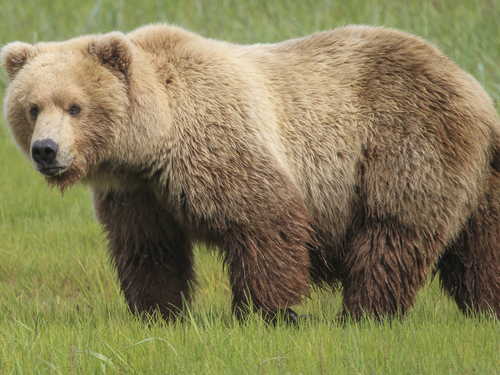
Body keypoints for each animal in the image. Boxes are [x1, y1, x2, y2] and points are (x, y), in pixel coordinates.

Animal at [0, 24, 500, 324]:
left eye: (75, 106)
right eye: (32, 107)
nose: (46, 150)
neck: (151, 143)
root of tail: (472, 85)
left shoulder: (219, 145)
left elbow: (263, 221)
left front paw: (268, 314)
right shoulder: (137, 192)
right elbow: (149, 251)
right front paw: (160, 313)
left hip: (406, 145)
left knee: (392, 234)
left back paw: (363, 314)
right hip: (480, 179)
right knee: (480, 250)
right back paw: (486, 308)